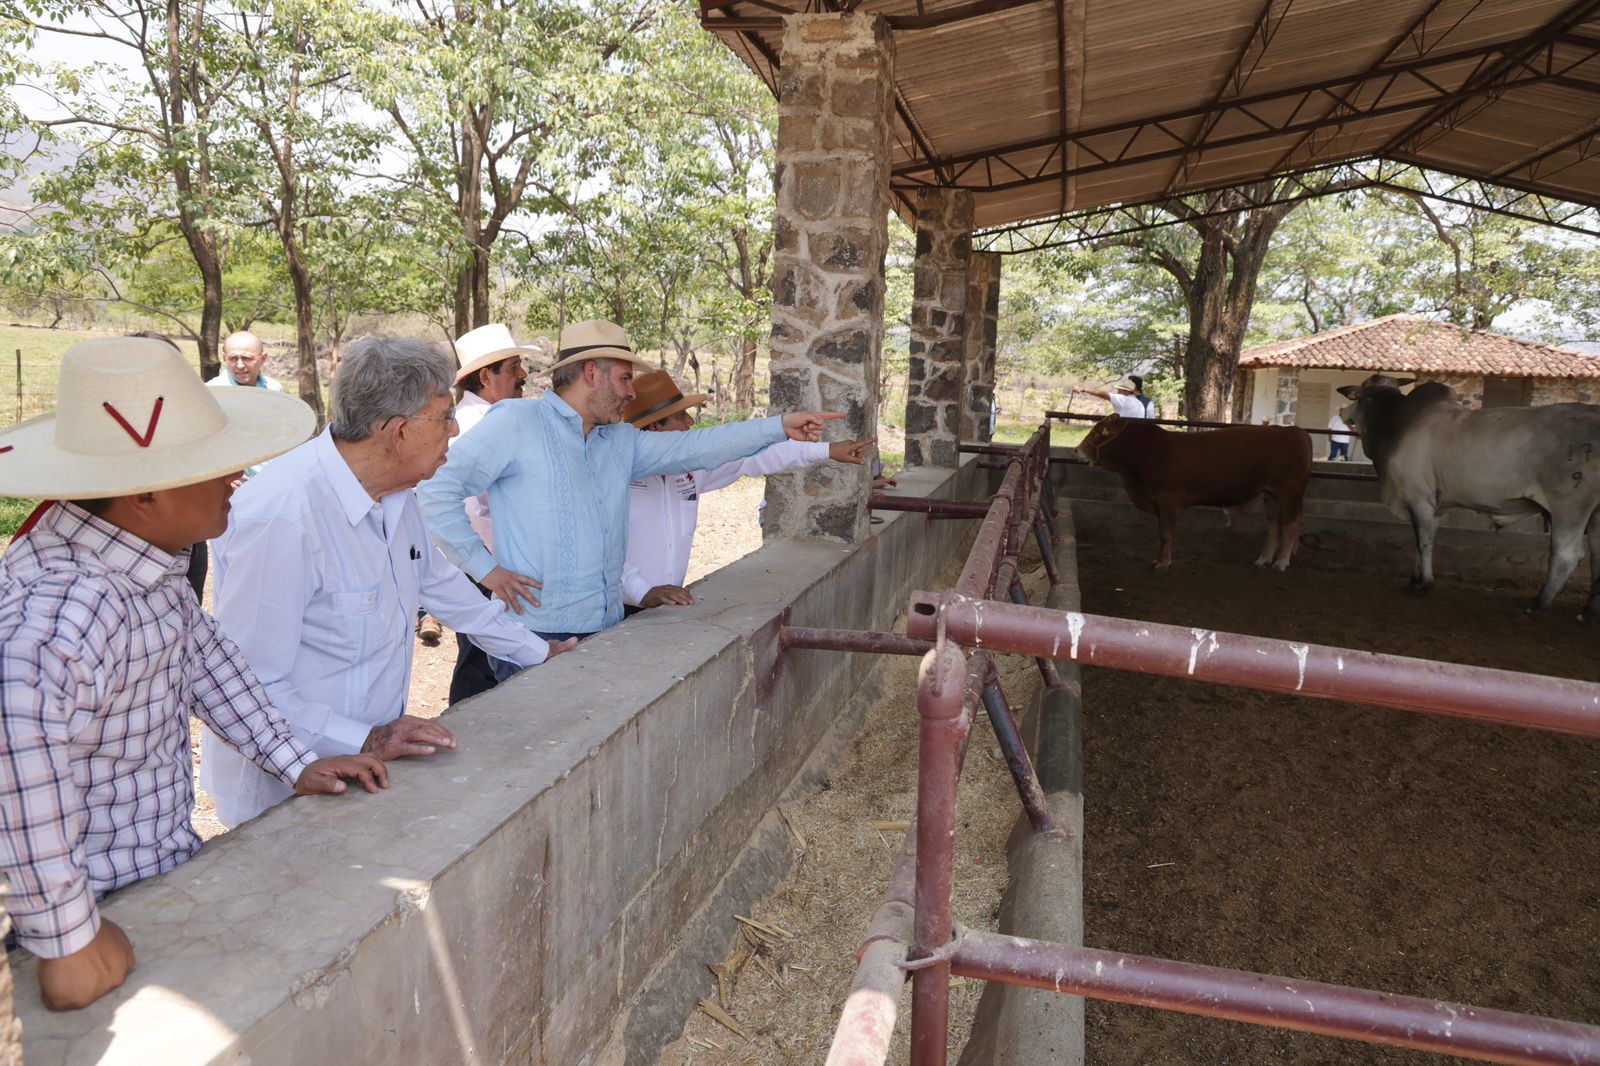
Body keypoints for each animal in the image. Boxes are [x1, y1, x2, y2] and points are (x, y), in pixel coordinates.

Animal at [1075, 409, 1312, 569]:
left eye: (1098, 433)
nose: (1077, 450)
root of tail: (1295, 431)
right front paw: (1159, 559)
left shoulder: (1167, 500)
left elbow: (1166, 533)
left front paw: (1163, 563)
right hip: (1270, 495)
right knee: (1274, 525)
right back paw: (1263, 559)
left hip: (1289, 494)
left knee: (1290, 526)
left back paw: (1281, 562)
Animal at [1331, 372, 1600, 617]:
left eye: (1359, 397)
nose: (1343, 412)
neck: (1396, 424)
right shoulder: (1434, 505)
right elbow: (1426, 539)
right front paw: (1414, 579)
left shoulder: (1418, 497)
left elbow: (1422, 541)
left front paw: (1424, 583)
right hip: (1595, 513)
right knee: (1596, 556)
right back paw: (1588, 612)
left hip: (1569, 507)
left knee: (1567, 554)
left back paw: (1539, 605)